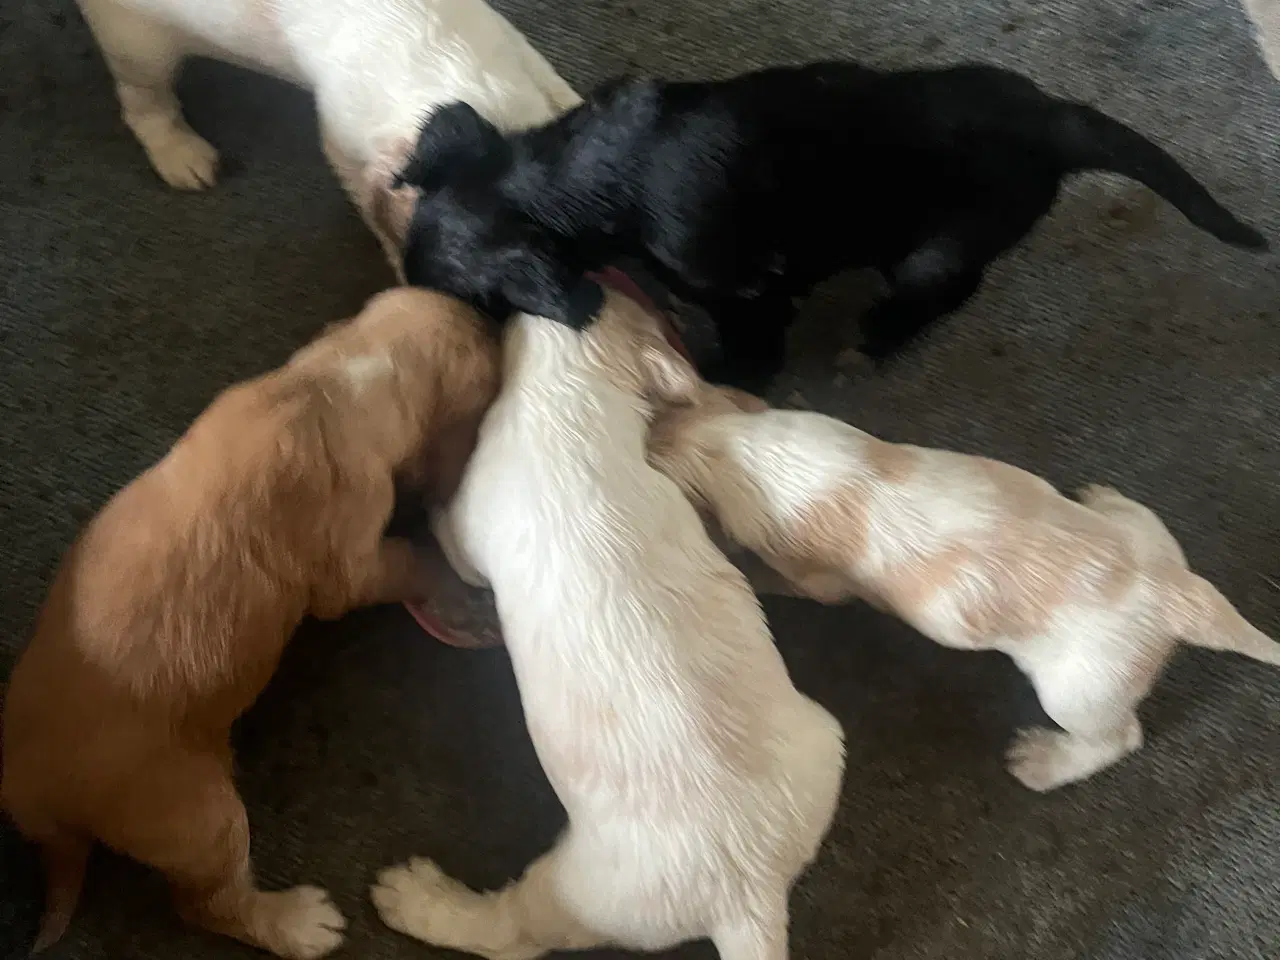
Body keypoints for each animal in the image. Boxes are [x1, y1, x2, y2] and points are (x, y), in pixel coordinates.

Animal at [0, 288, 499, 957]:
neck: (333, 382)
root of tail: (36, 798)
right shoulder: (352, 564)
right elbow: (406, 562)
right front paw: (451, 583)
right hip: (200, 817)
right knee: (208, 907)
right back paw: (298, 923)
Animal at [74, 0, 581, 268]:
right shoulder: (345, 142)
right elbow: (372, 206)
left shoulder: (511, 40)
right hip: (135, 42)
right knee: (143, 100)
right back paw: (189, 162)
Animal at [368, 281, 846, 960]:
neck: (574, 404)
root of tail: (747, 894)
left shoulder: (469, 534)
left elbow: (454, 537)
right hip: (825, 741)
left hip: (579, 891)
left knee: (512, 934)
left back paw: (419, 898)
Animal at [394, 61, 1267, 386]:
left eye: (470, 300)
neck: (574, 178)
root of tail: (1052, 121)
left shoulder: (745, 289)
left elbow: (749, 345)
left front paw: (727, 379)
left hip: (938, 248)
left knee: (946, 290)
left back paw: (876, 336)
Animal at [646, 383, 1278, 792]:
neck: (731, 442)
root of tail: (1178, 597)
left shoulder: (813, 578)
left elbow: (783, 578)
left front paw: (748, 575)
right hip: (1152, 545)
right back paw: (1106, 498)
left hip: (1078, 691)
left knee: (1120, 738)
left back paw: (1043, 764)